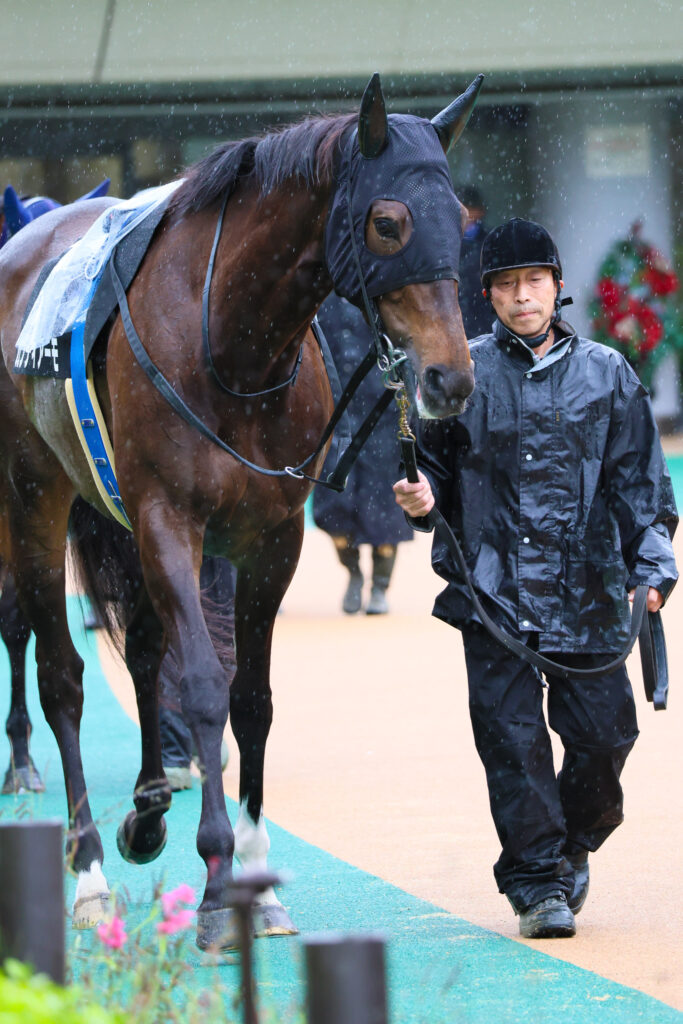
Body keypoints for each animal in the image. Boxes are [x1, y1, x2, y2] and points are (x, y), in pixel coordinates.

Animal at [0, 72, 481, 950]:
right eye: (388, 222)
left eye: (461, 222)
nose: (449, 379)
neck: (231, 342)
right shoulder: (168, 520)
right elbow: (200, 685)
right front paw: (221, 885)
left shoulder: (269, 538)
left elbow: (250, 698)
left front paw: (253, 874)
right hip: (33, 497)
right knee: (61, 675)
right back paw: (88, 871)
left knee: (142, 649)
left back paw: (148, 811)